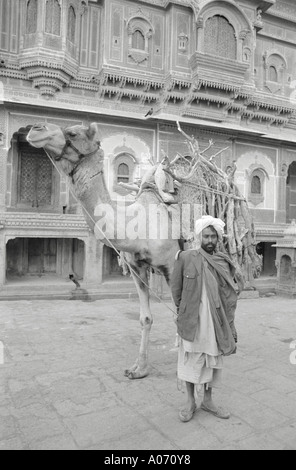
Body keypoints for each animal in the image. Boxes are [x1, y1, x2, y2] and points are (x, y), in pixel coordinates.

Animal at [26, 120, 260, 378]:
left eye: (73, 132)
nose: (34, 129)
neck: (138, 224)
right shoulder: (137, 269)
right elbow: (146, 318)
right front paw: (139, 368)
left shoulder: (172, 265)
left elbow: (180, 312)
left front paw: (185, 366)